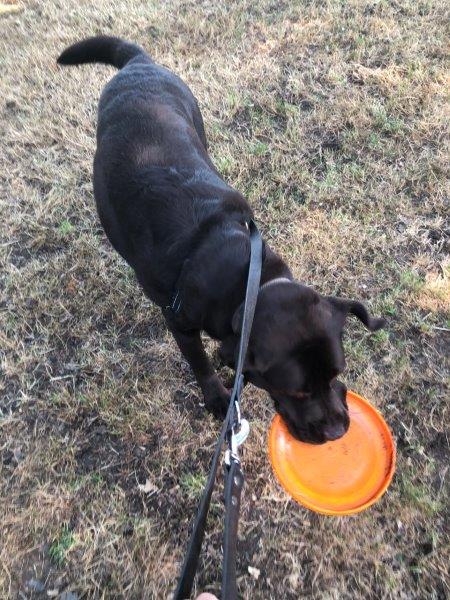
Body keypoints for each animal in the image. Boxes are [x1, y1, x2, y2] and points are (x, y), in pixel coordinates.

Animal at [58, 35, 384, 442]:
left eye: (336, 374)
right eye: (297, 391)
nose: (338, 431)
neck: (244, 278)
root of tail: (139, 64)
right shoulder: (179, 322)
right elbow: (200, 364)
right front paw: (217, 399)